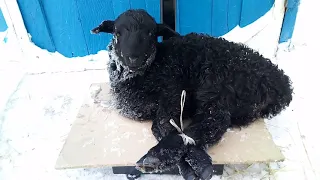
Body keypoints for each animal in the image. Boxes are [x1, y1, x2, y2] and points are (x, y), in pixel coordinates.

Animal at [90, 9, 292, 180]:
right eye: (117, 33)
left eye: (150, 33)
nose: (133, 57)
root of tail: (281, 83)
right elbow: (162, 128)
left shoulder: (173, 92)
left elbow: (161, 125)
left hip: (216, 83)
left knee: (212, 122)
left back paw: (160, 160)